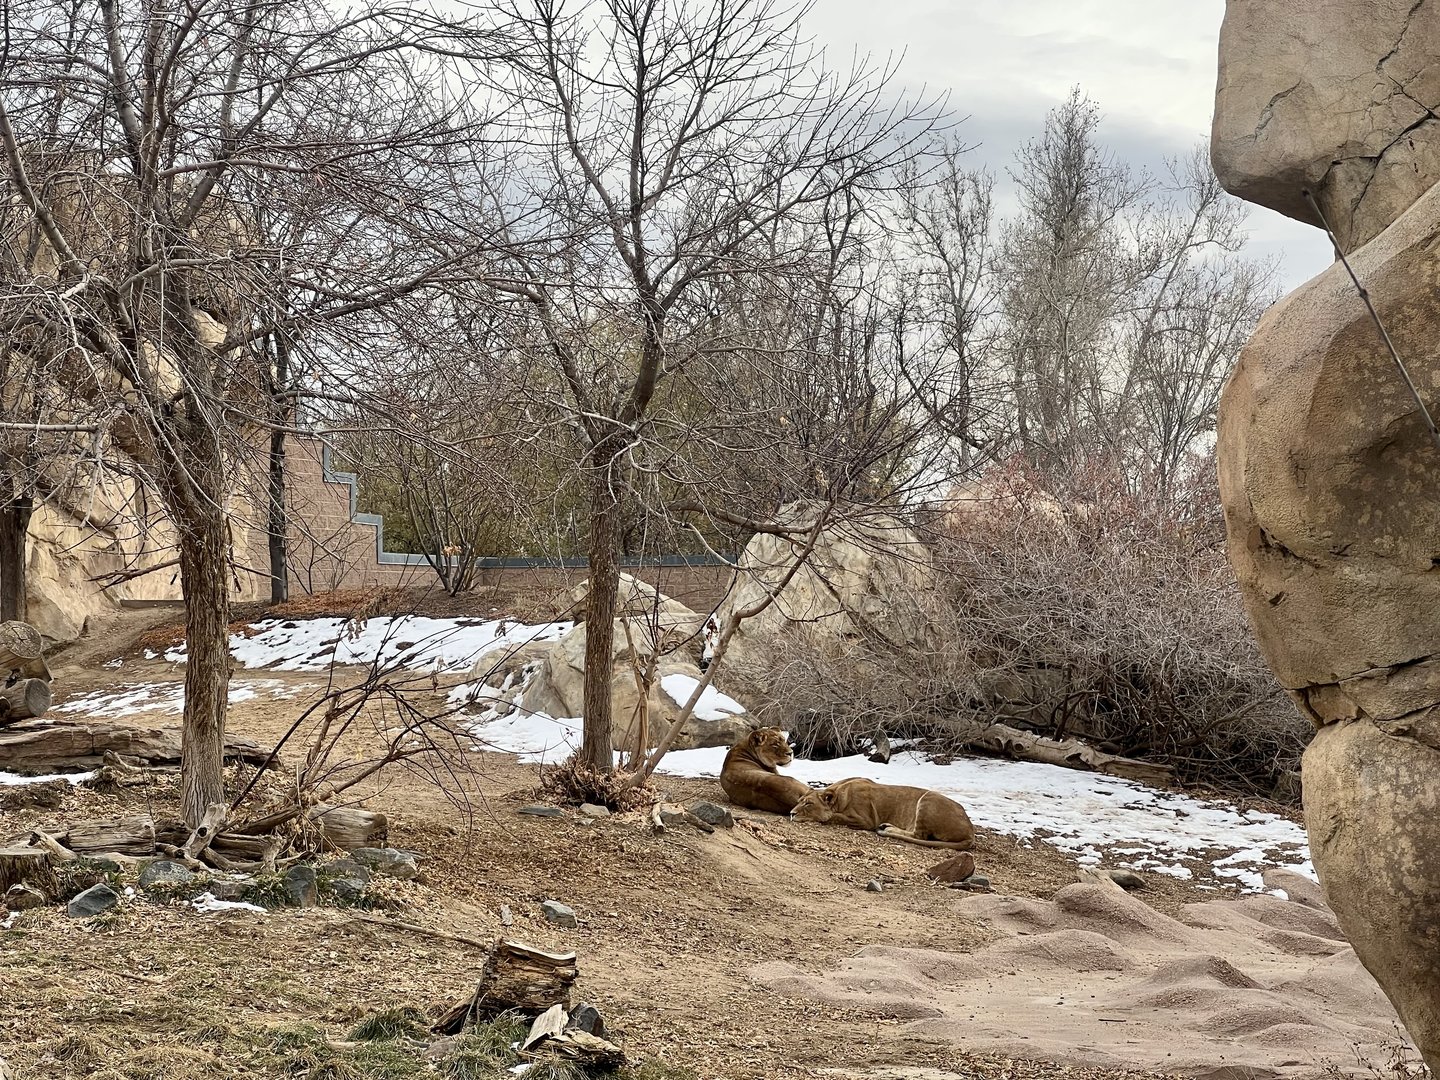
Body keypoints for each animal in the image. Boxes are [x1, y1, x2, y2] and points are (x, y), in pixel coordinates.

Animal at [791, 777, 975, 850]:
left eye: (808, 803)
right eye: (799, 800)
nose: (791, 813)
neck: (839, 796)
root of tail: (970, 831)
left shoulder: (865, 820)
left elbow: (834, 817)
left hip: (928, 798)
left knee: (919, 835)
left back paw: (887, 828)